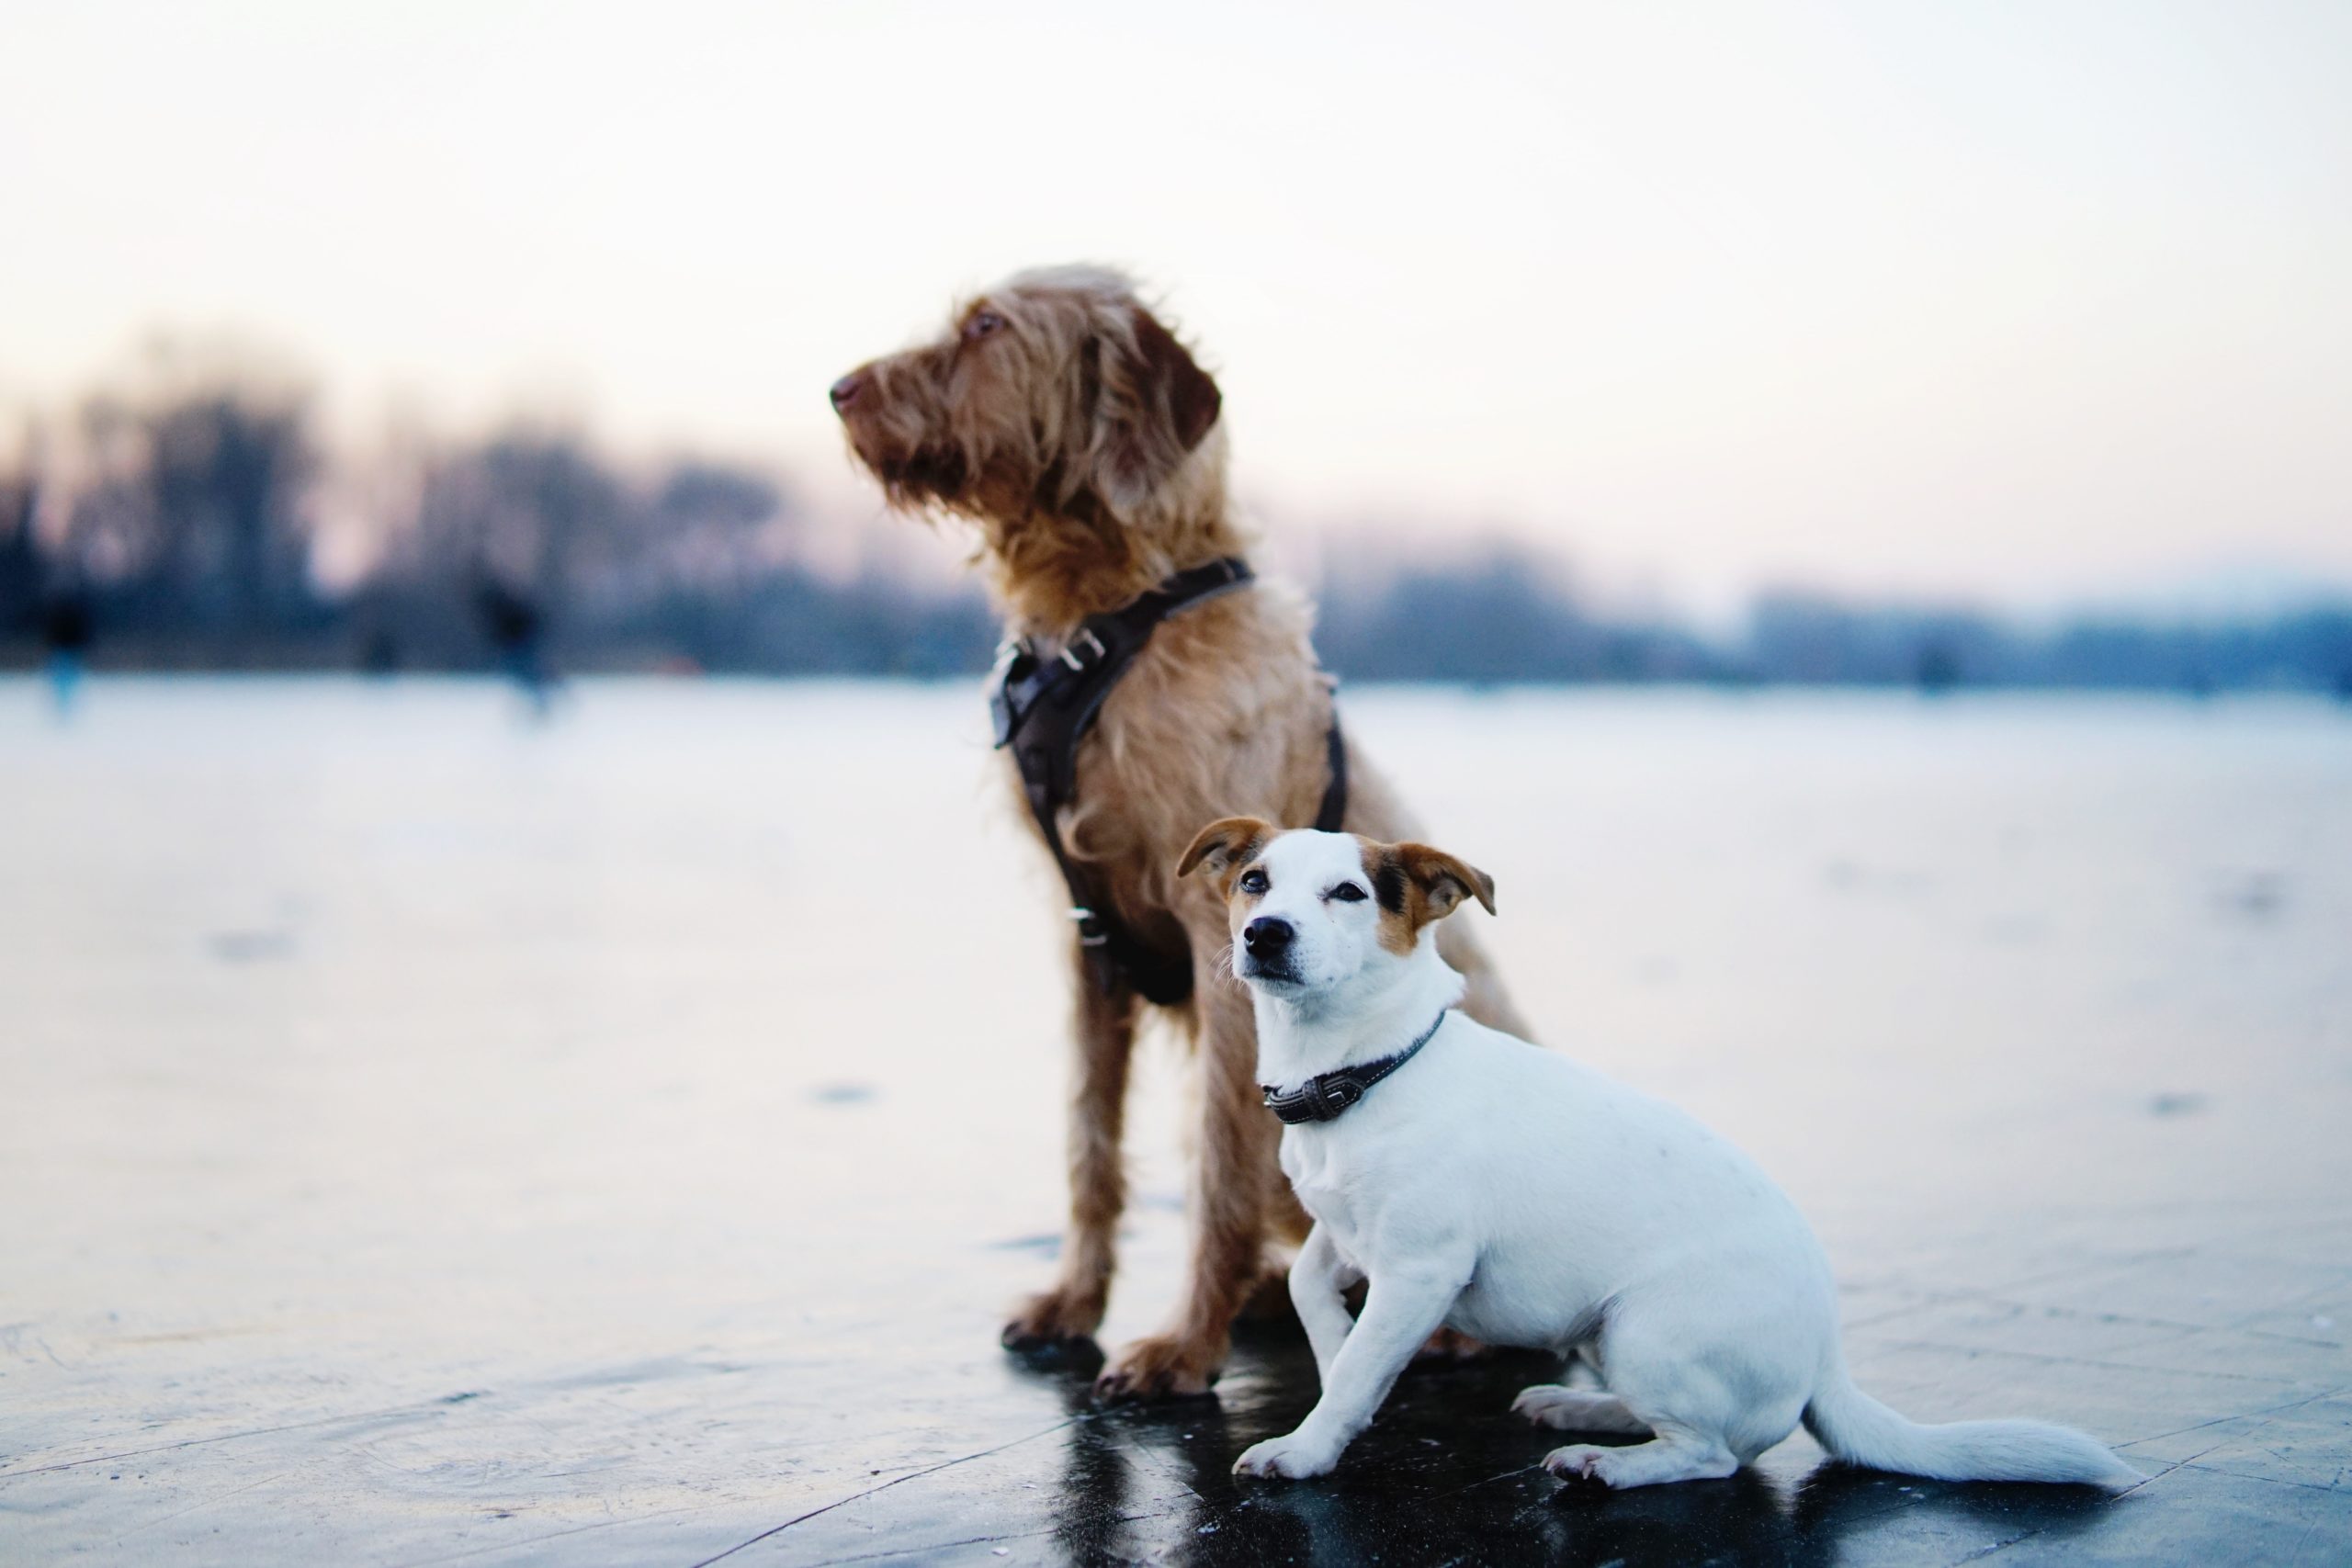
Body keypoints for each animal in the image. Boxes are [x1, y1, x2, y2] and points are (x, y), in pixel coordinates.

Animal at [832, 263, 1523, 1401]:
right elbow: (1090, 1144)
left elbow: (1218, 1164)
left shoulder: (1221, 950)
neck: (1113, 614)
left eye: (987, 327)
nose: (839, 390)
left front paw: (1183, 1344)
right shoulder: (1087, 943)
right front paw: (1075, 1304)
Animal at [1176, 818, 2154, 1495]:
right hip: (1607, 1330)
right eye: (1256, 881)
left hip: (1647, 1326)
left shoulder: (1421, 1268)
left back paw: (1609, 1463)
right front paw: (1335, 1346)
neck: (1367, 1070)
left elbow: (1349, 1379)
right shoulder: (1347, 1233)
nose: (1265, 932)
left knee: (1712, 1453)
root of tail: (1826, 1358)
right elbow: (1314, 1293)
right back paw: (1578, 1405)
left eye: (1348, 893)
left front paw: (1307, 1446)